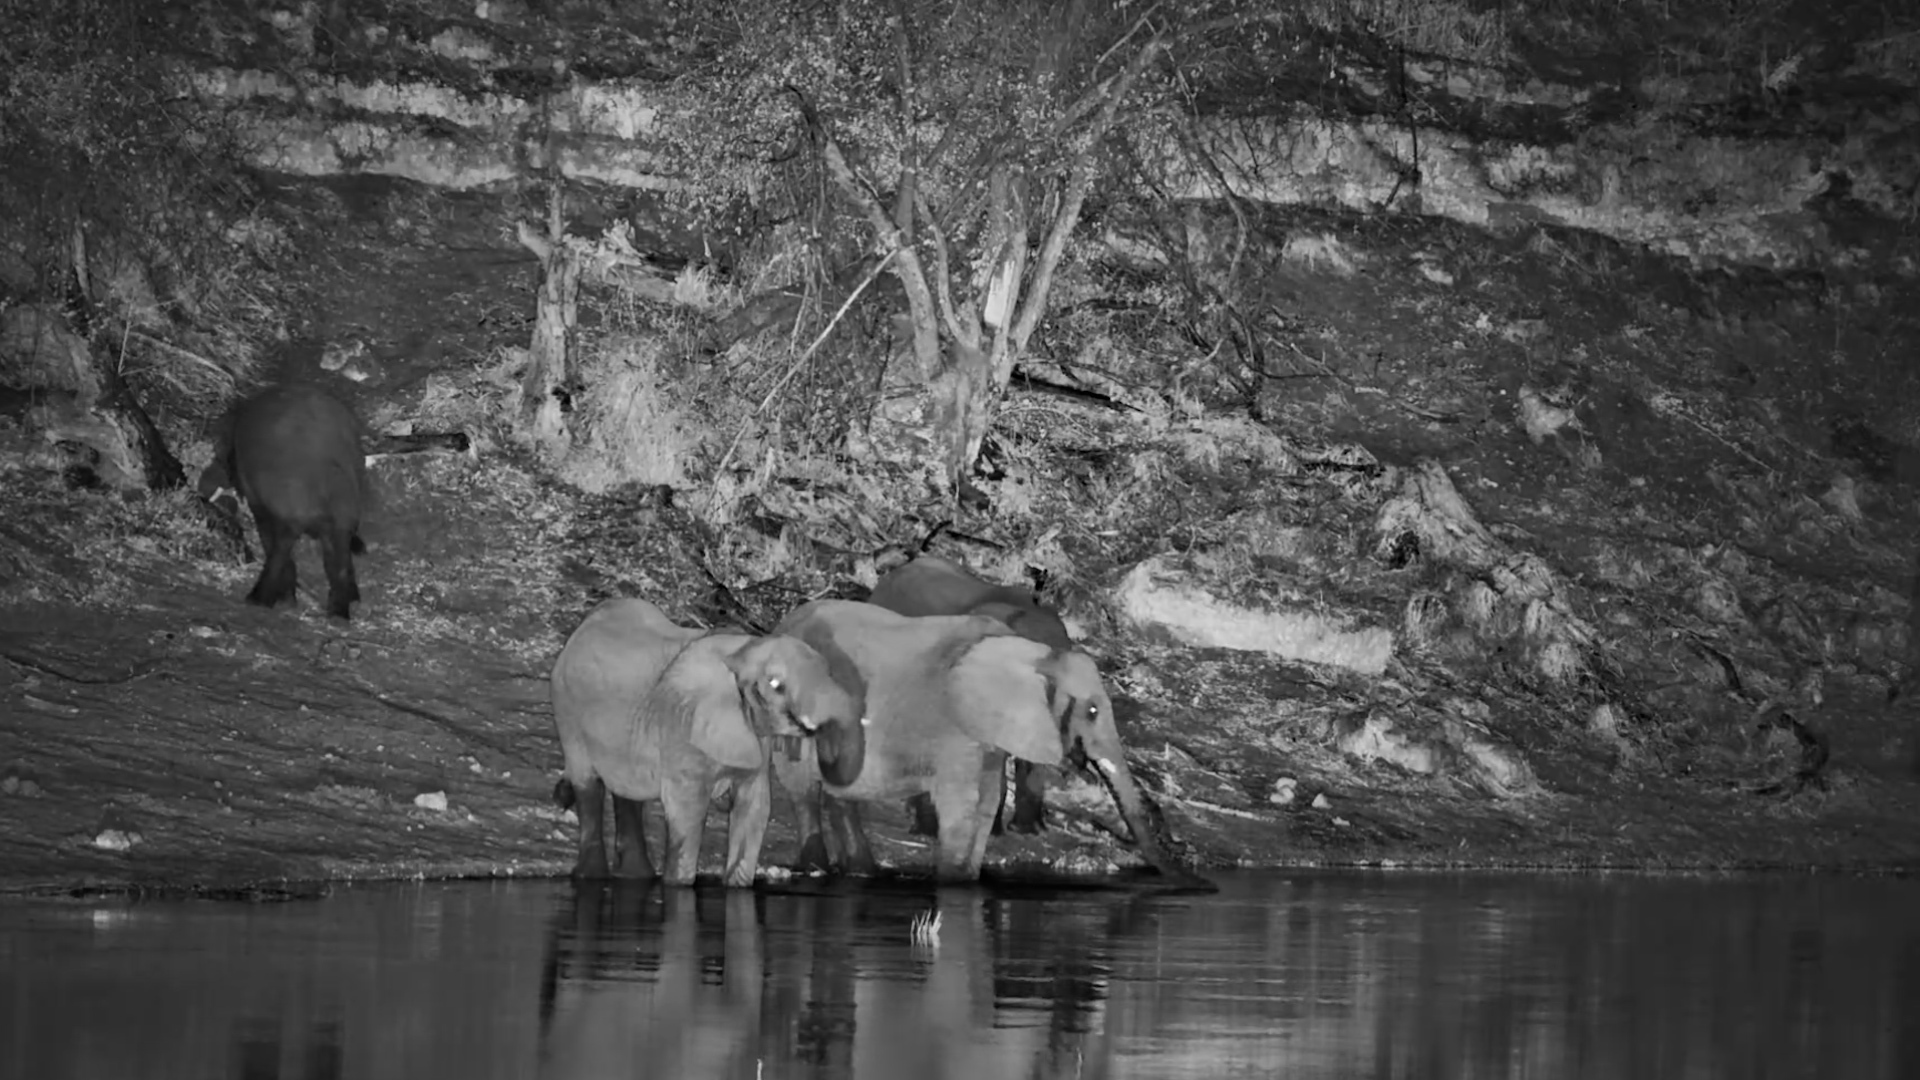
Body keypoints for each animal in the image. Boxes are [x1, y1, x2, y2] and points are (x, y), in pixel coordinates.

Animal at [200, 383, 369, 620]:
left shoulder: (265, 510)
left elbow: (276, 552)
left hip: (286, 515)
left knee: (281, 554)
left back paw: (262, 598)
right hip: (340, 516)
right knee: (340, 565)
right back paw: (340, 609)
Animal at [550, 597, 867, 886]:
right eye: (776, 685)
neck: (742, 649)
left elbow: (754, 806)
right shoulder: (682, 727)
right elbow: (687, 812)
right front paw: (677, 885)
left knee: (627, 792)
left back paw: (635, 877)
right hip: (567, 712)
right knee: (588, 785)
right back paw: (590, 877)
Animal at [769, 599, 1206, 887]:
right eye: (1093, 711)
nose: (1203, 886)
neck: (1034, 653)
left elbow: (986, 801)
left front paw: (967, 878)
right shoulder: (954, 726)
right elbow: (962, 804)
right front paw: (953, 885)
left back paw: (862, 872)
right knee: (802, 788)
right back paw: (815, 869)